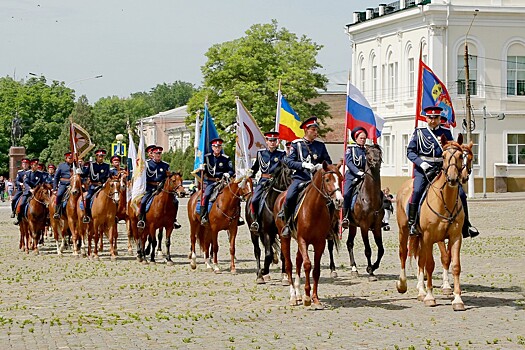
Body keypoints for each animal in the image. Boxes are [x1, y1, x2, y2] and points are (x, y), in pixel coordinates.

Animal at [272, 163, 342, 308]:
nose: (339, 200)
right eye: (327, 180)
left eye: (341, 178)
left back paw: (298, 294)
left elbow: (316, 270)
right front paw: (307, 297)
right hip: (285, 237)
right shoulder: (302, 240)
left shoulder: (320, 242)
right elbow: (308, 265)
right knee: (289, 264)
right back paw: (293, 296)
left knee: (298, 261)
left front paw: (315, 298)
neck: (314, 209)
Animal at [338, 144, 382, 280]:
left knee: (349, 243)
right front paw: (370, 271)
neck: (370, 197)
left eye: (379, 152)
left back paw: (354, 268)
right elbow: (368, 250)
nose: (376, 161)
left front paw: (373, 267)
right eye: (368, 153)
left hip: (352, 226)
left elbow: (381, 249)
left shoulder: (377, 226)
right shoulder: (364, 226)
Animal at [392, 134, 466, 312]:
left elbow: (455, 265)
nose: (453, 179)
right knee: (404, 253)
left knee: (420, 260)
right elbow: (430, 265)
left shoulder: (455, 237)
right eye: (444, 156)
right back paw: (403, 285)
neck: (445, 201)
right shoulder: (429, 237)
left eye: (461, 156)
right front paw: (430, 297)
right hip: (405, 231)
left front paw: (457, 299)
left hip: (419, 237)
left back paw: (421, 291)